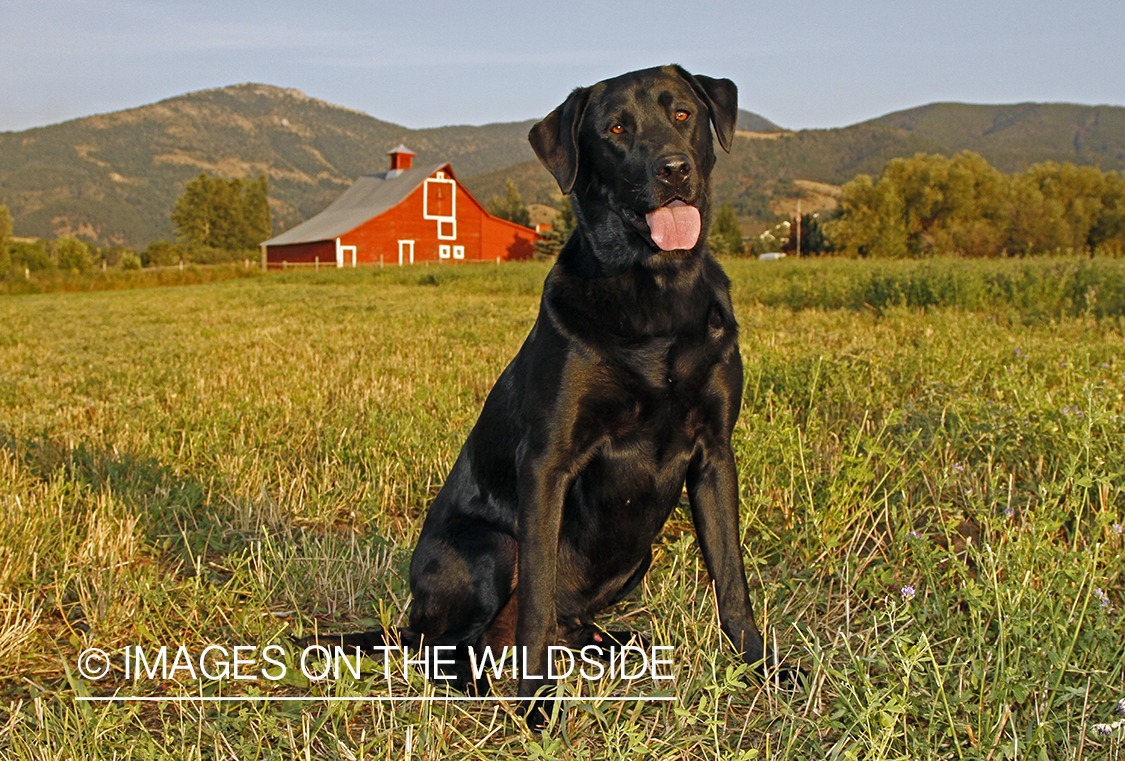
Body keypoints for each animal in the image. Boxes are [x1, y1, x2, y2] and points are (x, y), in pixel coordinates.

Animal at [317, 65, 778, 724]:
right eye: (616, 129)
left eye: (684, 114)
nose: (673, 169)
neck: (656, 291)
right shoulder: (547, 464)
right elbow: (534, 601)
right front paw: (536, 706)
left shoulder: (715, 454)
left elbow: (733, 581)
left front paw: (764, 669)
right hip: (489, 548)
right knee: (452, 647)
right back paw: (483, 686)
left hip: (631, 559)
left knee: (568, 625)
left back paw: (618, 647)